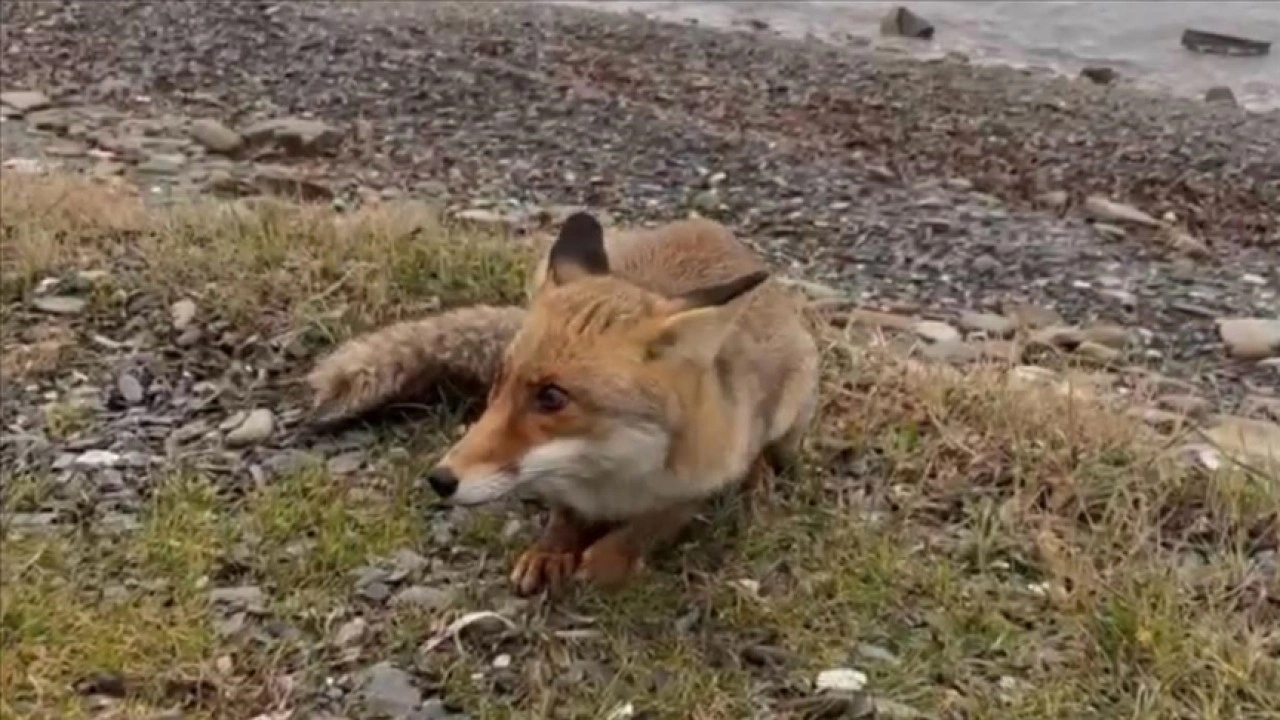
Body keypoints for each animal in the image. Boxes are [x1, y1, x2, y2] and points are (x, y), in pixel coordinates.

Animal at [307, 211, 819, 594]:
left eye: (552, 397)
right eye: (501, 380)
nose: (440, 479)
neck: (610, 473)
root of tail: (714, 228)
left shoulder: (700, 479)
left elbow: (653, 523)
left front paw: (611, 557)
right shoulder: (563, 487)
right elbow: (563, 516)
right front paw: (551, 550)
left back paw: (760, 477)